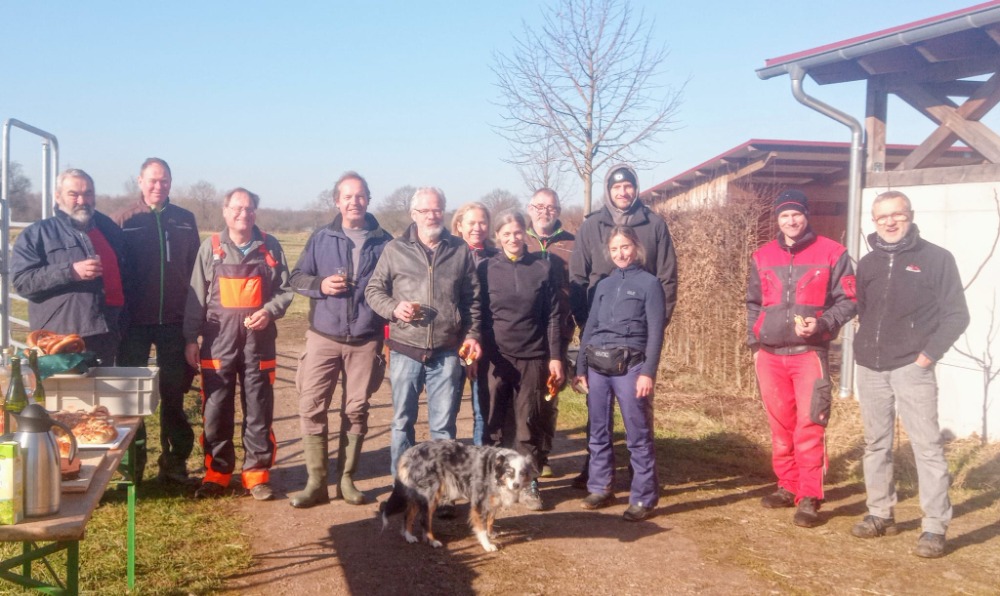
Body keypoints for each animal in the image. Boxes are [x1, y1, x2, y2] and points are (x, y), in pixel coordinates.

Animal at [379, 440, 533, 552]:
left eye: (522, 473)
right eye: (509, 472)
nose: (516, 485)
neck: (493, 469)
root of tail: (409, 453)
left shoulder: (493, 500)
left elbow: (491, 520)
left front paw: (491, 534)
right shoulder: (479, 503)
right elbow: (481, 528)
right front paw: (487, 544)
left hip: (418, 495)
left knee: (408, 514)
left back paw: (409, 536)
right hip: (431, 496)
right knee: (424, 520)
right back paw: (432, 541)